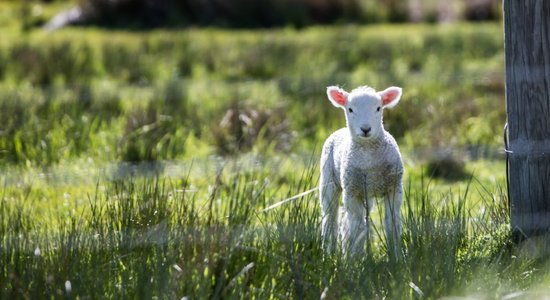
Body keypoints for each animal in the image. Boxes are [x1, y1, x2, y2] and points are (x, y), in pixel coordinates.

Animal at [320, 84, 406, 255]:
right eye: (350, 109)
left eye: (378, 108)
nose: (365, 129)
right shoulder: (352, 192)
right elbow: (357, 228)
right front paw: (354, 258)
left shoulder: (394, 188)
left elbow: (392, 224)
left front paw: (396, 256)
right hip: (328, 182)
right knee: (331, 219)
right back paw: (329, 252)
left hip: (367, 193)